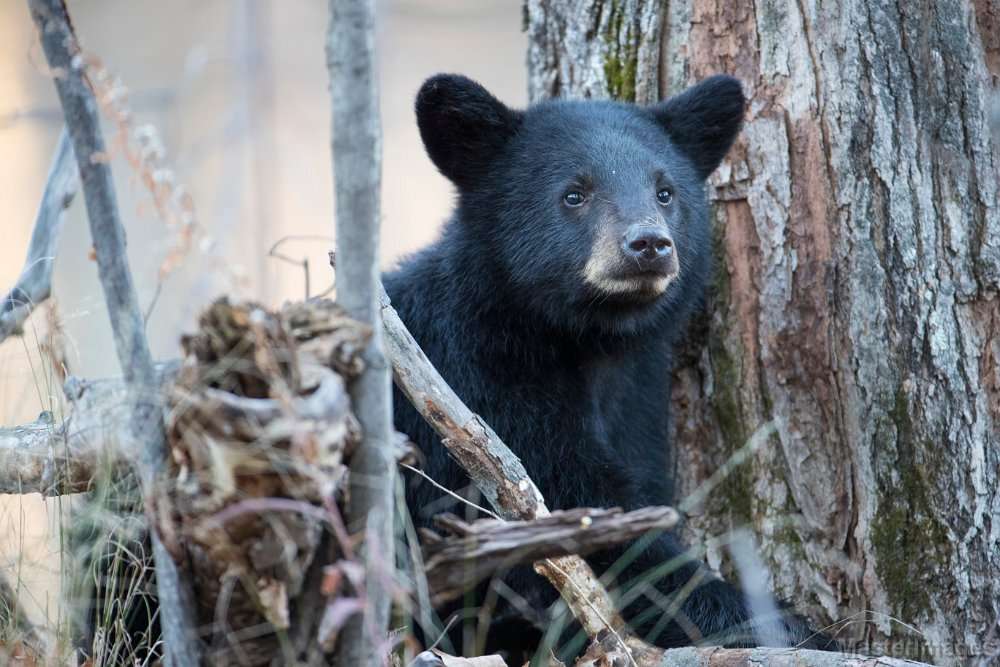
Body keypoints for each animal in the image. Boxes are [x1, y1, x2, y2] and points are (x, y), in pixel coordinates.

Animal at [382, 75, 820, 660]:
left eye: (665, 191)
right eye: (574, 193)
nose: (649, 244)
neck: (582, 340)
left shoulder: (638, 394)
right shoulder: (480, 385)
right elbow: (586, 512)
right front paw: (772, 622)